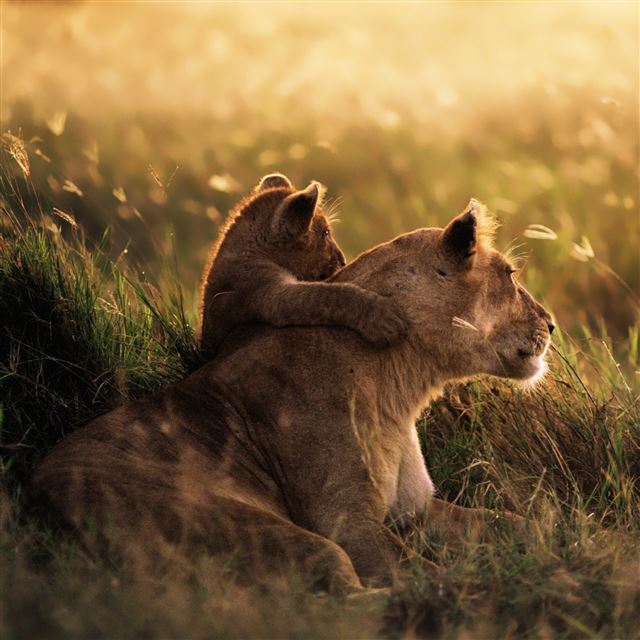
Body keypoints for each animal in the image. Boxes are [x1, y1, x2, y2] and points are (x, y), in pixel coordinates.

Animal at [27, 199, 554, 593]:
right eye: (510, 274)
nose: (551, 324)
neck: (401, 385)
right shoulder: (345, 520)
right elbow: (421, 575)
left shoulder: (416, 509)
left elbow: (516, 522)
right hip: (269, 532)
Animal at [198, 173, 407, 359]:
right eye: (325, 233)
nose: (343, 260)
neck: (252, 251)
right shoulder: (266, 294)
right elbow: (326, 295)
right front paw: (383, 318)